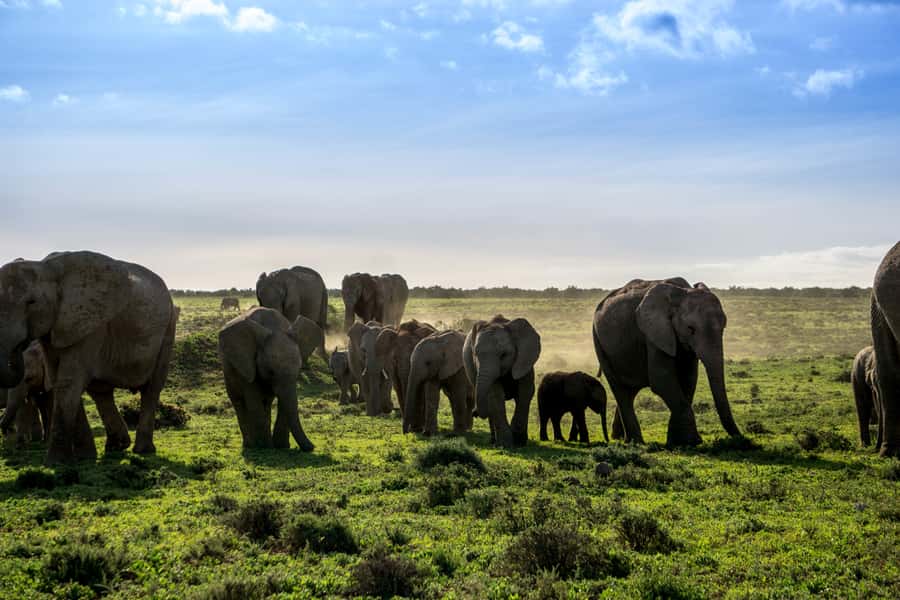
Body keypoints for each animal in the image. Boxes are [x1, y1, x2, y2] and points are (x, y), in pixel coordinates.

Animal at [0, 251, 178, 464]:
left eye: (31, 303)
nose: (20, 346)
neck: (46, 267)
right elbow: (58, 380)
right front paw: (82, 459)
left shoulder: (91, 325)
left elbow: (68, 382)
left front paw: (56, 463)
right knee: (101, 392)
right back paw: (115, 447)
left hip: (168, 328)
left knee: (151, 389)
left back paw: (142, 451)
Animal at [218, 307, 315, 451]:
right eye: (271, 372)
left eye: (298, 370)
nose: (312, 447)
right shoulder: (247, 363)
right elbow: (253, 399)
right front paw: (264, 447)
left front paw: (281, 447)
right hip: (228, 370)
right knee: (239, 402)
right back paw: (250, 445)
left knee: (267, 403)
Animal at [463, 315, 541, 448]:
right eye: (475, 354)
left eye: (503, 355)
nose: (474, 412)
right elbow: (496, 396)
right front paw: (506, 444)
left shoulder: (524, 361)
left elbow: (525, 393)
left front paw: (519, 441)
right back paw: (494, 441)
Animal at [592, 278, 741, 447]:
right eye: (690, 329)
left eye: (724, 326)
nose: (741, 439)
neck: (682, 293)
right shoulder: (655, 334)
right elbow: (661, 380)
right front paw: (691, 442)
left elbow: (688, 380)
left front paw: (678, 442)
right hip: (599, 343)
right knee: (621, 391)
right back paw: (636, 443)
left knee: (630, 391)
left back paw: (621, 438)